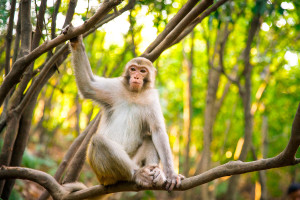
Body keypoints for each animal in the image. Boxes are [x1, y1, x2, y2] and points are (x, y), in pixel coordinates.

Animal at [69, 35, 184, 191]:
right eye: (133, 69)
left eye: (142, 71)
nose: (136, 77)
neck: (134, 94)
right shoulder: (115, 87)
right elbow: (88, 86)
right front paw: (76, 40)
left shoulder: (151, 99)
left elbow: (157, 131)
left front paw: (171, 174)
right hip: (103, 173)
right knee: (99, 141)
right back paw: (137, 174)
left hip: (134, 159)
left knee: (149, 138)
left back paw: (155, 172)